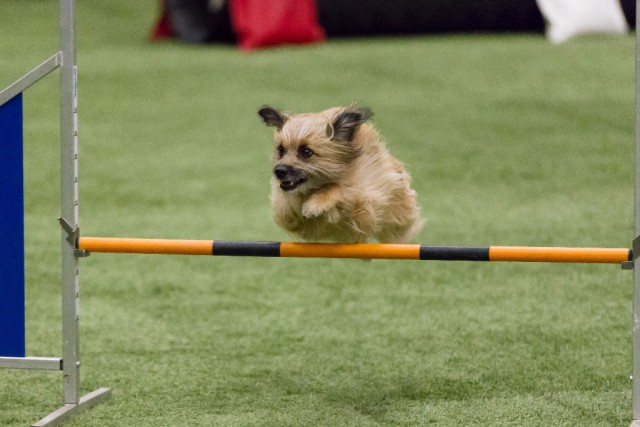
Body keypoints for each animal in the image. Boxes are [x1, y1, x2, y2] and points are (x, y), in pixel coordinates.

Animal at [255, 106, 424, 244]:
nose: (279, 171)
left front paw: (315, 204)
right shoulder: (287, 211)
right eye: (281, 150)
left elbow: (339, 188)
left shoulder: (365, 199)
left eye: (306, 152)